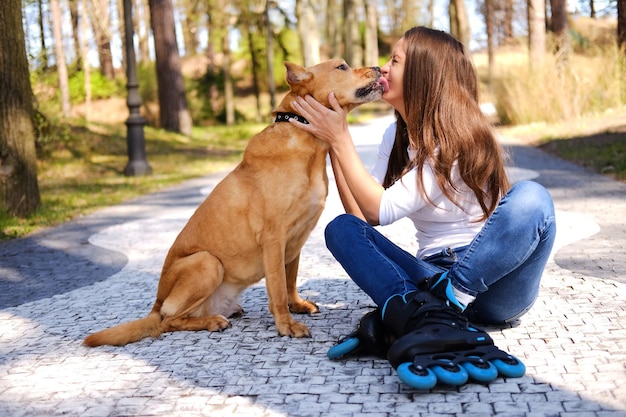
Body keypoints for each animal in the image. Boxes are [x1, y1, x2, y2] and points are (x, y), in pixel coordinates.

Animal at [83, 57, 386, 344]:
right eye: (342, 66)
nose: (378, 66)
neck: (306, 138)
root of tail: (156, 305)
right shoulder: (274, 238)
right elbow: (278, 287)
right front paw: (285, 325)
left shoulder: (296, 241)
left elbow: (290, 280)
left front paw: (296, 305)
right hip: (206, 262)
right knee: (169, 322)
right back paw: (210, 321)